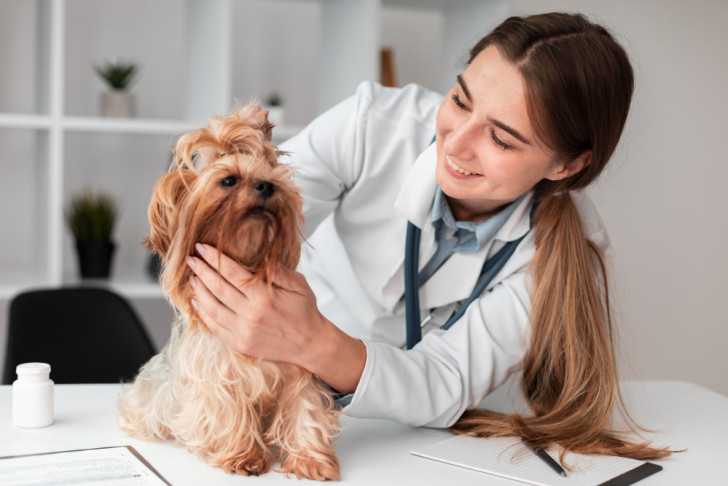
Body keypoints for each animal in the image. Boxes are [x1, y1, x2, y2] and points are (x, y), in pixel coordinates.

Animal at [118, 104, 342, 480]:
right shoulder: (216, 371)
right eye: (228, 181)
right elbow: (227, 407)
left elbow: (306, 407)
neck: (247, 259)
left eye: (272, 175)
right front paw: (244, 456)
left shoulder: (300, 356)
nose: (267, 186)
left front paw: (311, 459)